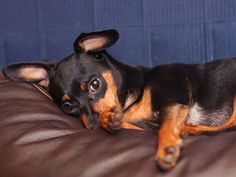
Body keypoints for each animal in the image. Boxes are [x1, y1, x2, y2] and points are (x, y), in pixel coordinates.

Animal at [3, 29, 236, 170]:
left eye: (94, 84)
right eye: (68, 106)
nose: (94, 126)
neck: (137, 90)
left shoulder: (173, 100)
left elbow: (164, 127)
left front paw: (167, 147)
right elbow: (138, 124)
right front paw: (108, 120)